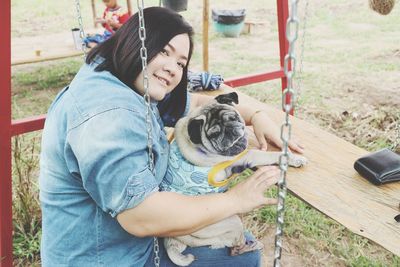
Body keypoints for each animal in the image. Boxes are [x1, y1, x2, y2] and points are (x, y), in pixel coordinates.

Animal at [159, 91, 306, 266]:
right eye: (214, 134)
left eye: (233, 118)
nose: (229, 130)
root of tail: (173, 239)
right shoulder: (245, 157)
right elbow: (266, 155)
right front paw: (293, 159)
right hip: (232, 222)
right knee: (235, 248)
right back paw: (252, 246)